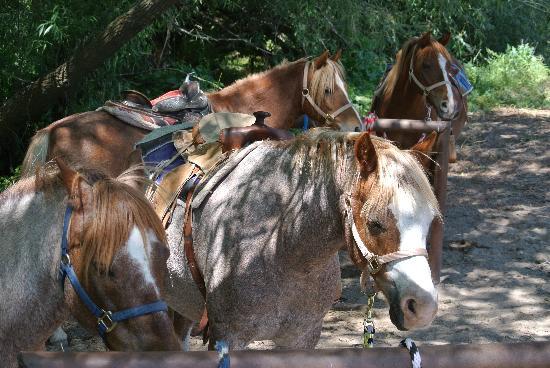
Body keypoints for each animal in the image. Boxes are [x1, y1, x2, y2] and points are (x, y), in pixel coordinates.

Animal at [165, 129, 444, 348]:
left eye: (429, 222)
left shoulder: (302, 337)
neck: (281, 248)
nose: (423, 308)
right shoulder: (227, 337)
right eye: (375, 224)